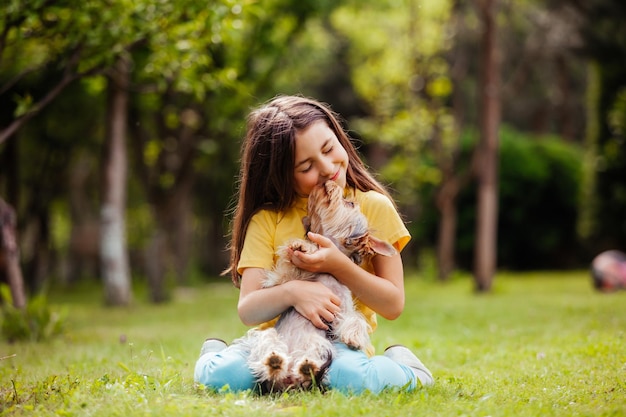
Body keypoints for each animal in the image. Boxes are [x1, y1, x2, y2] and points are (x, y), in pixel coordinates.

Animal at [241, 180, 392, 392]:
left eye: (349, 203)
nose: (328, 181)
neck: (327, 274)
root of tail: (287, 382)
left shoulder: (342, 308)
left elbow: (355, 318)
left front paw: (354, 338)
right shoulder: (281, 279)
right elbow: (286, 273)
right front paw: (303, 246)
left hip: (321, 344)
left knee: (306, 363)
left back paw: (306, 368)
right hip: (266, 337)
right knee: (269, 353)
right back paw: (275, 362)